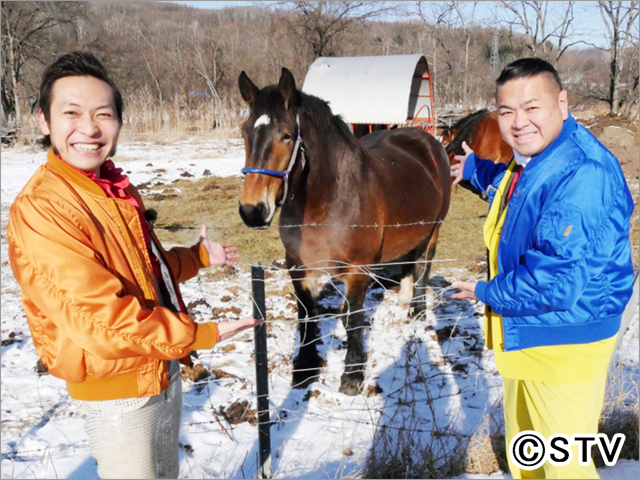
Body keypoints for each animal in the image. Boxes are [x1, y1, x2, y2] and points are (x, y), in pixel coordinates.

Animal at [235, 68, 450, 398]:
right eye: (245, 133)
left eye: (286, 135)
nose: (252, 210)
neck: (327, 200)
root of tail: (428, 140)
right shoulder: (298, 266)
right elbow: (307, 315)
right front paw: (305, 368)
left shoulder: (358, 269)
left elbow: (353, 319)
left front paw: (352, 375)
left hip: (434, 229)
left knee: (423, 265)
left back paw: (416, 311)